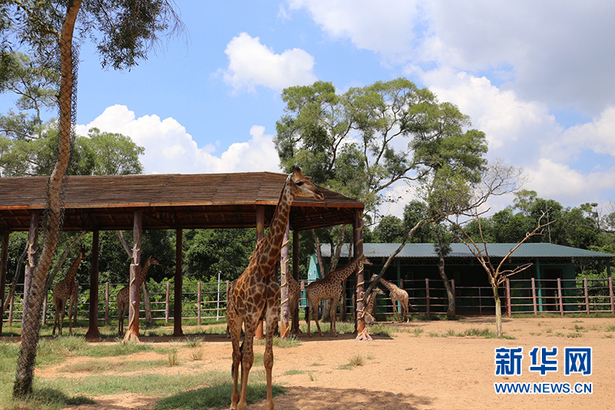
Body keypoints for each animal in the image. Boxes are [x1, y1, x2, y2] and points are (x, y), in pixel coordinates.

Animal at [225, 166, 322, 410]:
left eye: (309, 179)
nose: (319, 193)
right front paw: (242, 405)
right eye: (299, 182)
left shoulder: (270, 314)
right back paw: (233, 402)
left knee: (240, 352)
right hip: (234, 319)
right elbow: (248, 358)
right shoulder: (251, 315)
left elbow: (268, 358)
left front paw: (268, 404)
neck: (267, 267)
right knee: (236, 355)